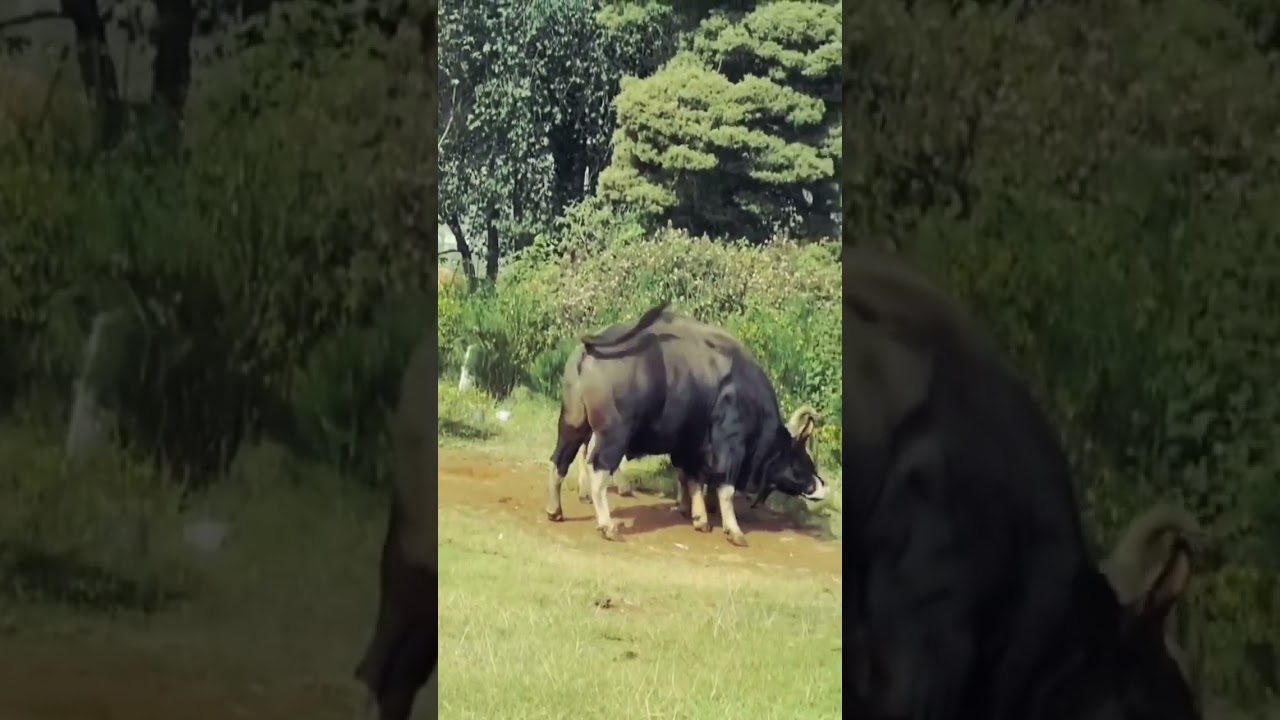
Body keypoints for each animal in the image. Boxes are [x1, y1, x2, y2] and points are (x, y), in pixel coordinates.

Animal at [547, 303, 829, 546]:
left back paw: (555, 510)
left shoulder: (690, 447)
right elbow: (724, 488)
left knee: (560, 461)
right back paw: (608, 525)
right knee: (598, 469)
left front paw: (699, 518)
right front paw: (733, 530)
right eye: (802, 457)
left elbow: (692, 479)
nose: (822, 486)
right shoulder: (730, 446)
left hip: (573, 423)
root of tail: (590, 349)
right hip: (614, 435)